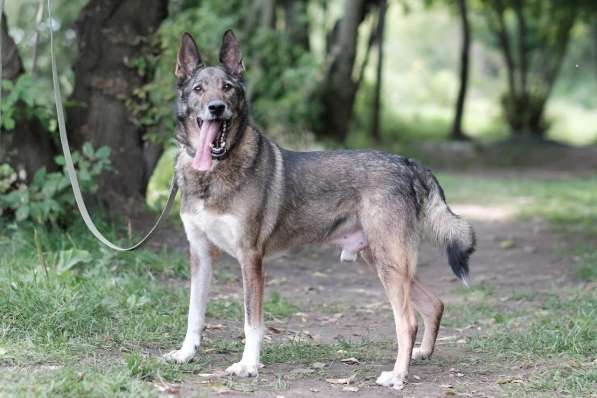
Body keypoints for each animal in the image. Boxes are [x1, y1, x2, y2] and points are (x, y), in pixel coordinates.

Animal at [164, 29, 474, 390]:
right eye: (199, 89)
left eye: (227, 87)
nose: (217, 108)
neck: (212, 173)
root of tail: (408, 163)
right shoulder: (200, 253)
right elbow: (194, 314)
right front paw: (186, 354)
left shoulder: (250, 258)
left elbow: (251, 322)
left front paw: (248, 366)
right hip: (382, 261)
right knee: (435, 304)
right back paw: (420, 355)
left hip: (389, 264)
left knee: (407, 321)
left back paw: (398, 375)